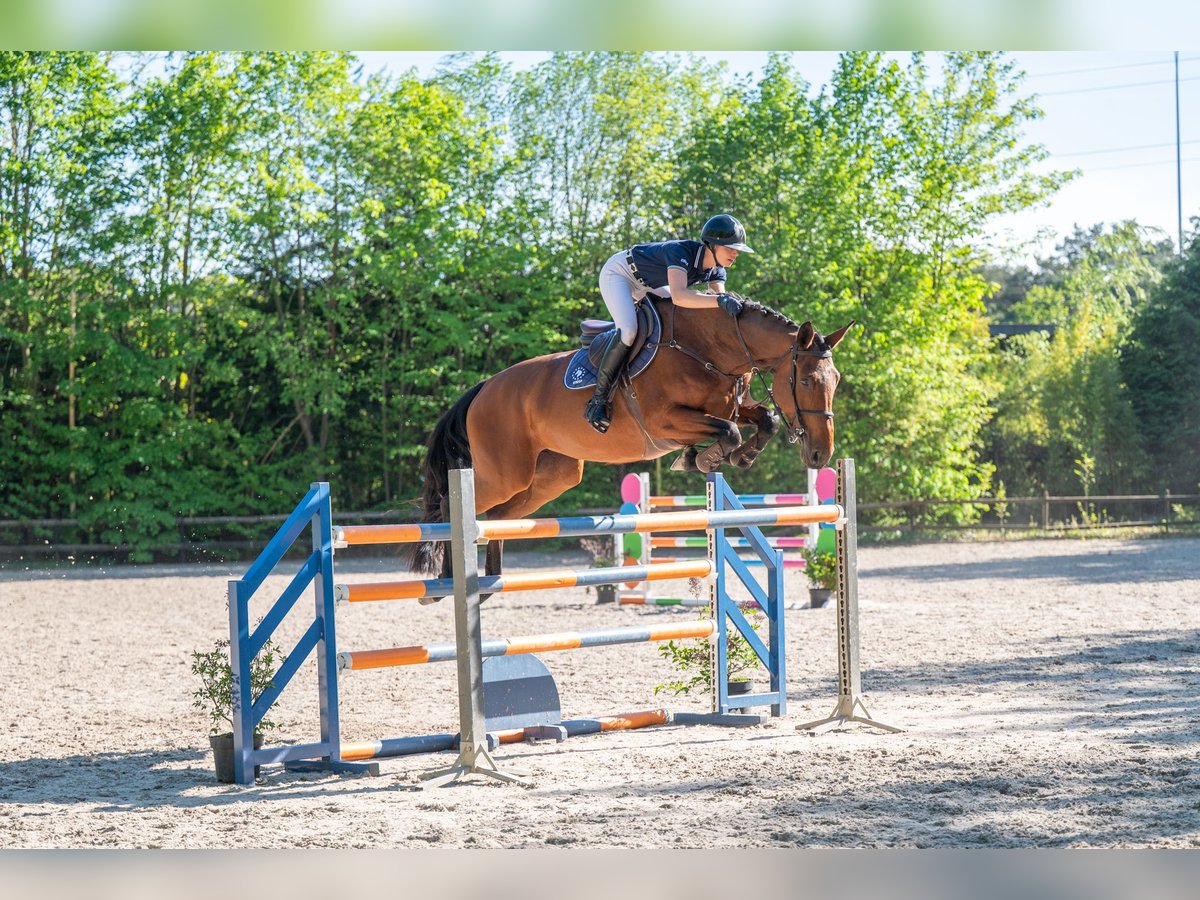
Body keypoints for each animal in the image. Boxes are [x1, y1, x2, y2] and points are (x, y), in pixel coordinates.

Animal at [404, 294, 851, 582]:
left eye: (836, 380)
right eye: (807, 381)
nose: (820, 454)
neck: (708, 349)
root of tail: (484, 388)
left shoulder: (728, 406)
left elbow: (766, 419)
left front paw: (735, 457)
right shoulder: (665, 422)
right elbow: (730, 429)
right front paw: (703, 458)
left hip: (551, 476)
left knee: (498, 518)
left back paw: (491, 576)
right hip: (505, 473)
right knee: (450, 504)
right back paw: (446, 579)